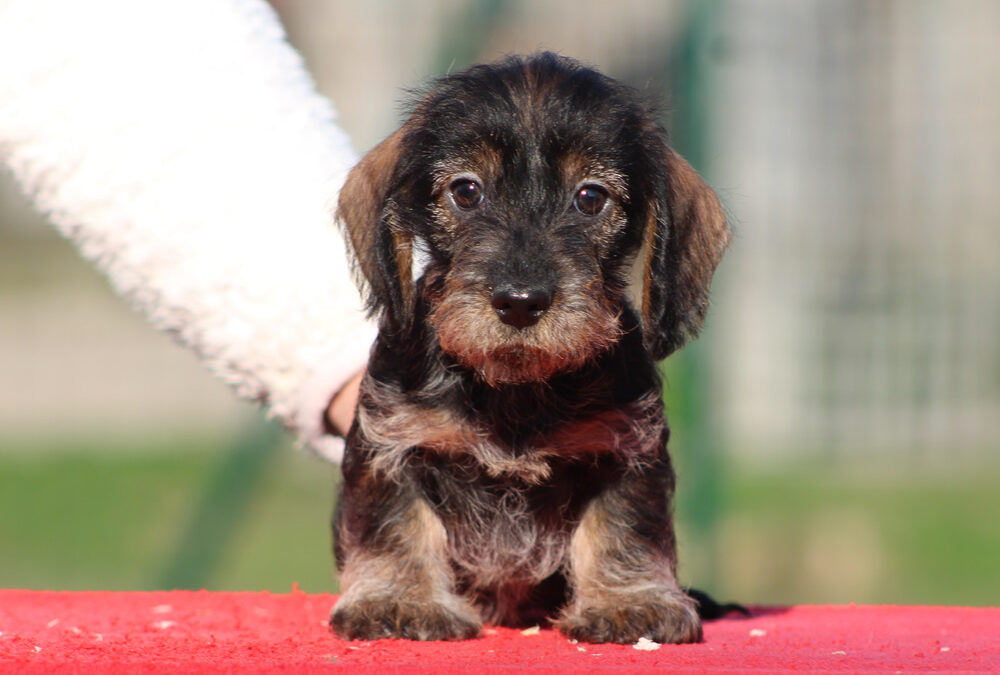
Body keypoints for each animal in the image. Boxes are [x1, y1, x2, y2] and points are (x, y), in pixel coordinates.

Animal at [332, 52, 732, 644]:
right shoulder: (393, 443)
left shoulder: (624, 449)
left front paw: (628, 602)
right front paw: (398, 599)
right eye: (466, 191)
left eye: (591, 197)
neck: (513, 390)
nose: (520, 301)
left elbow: (622, 528)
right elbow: (395, 524)